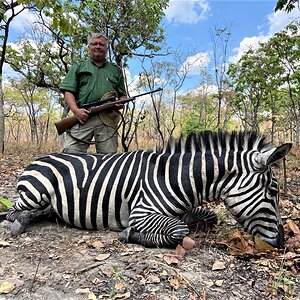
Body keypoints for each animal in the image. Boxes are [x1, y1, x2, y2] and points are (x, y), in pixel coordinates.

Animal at [5, 131, 290, 248]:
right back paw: (19, 223)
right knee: (13, 212)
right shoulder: (141, 212)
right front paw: (129, 234)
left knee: (42, 212)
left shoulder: (187, 210)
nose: (282, 243)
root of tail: (42, 156)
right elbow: (179, 230)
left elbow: (209, 217)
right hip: (35, 192)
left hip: (49, 203)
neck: (178, 178)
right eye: (273, 191)